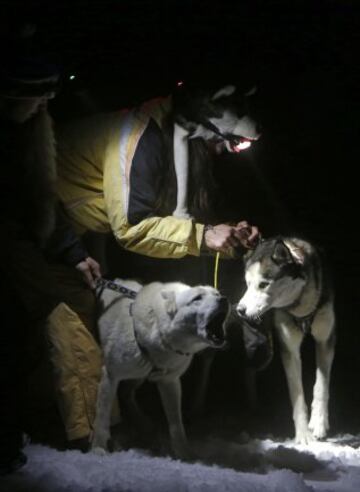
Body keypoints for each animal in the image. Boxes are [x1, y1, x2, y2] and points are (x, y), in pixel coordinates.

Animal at [91, 280, 229, 458]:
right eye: (197, 298)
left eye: (217, 294)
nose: (224, 299)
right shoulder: (110, 375)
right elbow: (102, 416)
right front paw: (97, 448)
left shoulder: (169, 382)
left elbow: (176, 425)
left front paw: (184, 454)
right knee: (124, 394)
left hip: (139, 376)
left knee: (126, 393)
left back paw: (143, 423)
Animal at [236, 236, 334, 444]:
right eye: (247, 284)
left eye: (263, 284)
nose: (240, 310)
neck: (300, 306)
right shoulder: (289, 349)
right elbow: (297, 395)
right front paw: (303, 434)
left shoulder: (325, 340)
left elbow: (321, 385)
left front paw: (319, 422)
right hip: (262, 348)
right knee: (249, 369)